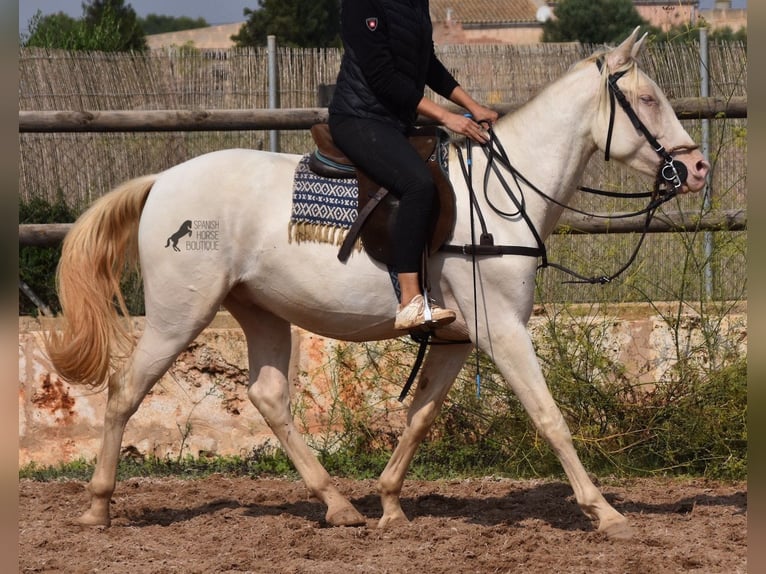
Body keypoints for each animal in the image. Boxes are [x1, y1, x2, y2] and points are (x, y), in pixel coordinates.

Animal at [46, 30, 708, 544]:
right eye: (646, 98)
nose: (696, 167)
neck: (505, 194)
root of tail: (163, 181)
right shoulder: (503, 331)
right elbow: (549, 417)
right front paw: (606, 512)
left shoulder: (456, 339)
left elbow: (420, 416)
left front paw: (389, 502)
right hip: (178, 314)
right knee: (125, 391)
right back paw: (98, 507)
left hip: (260, 311)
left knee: (268, 397)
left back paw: (338, 506)